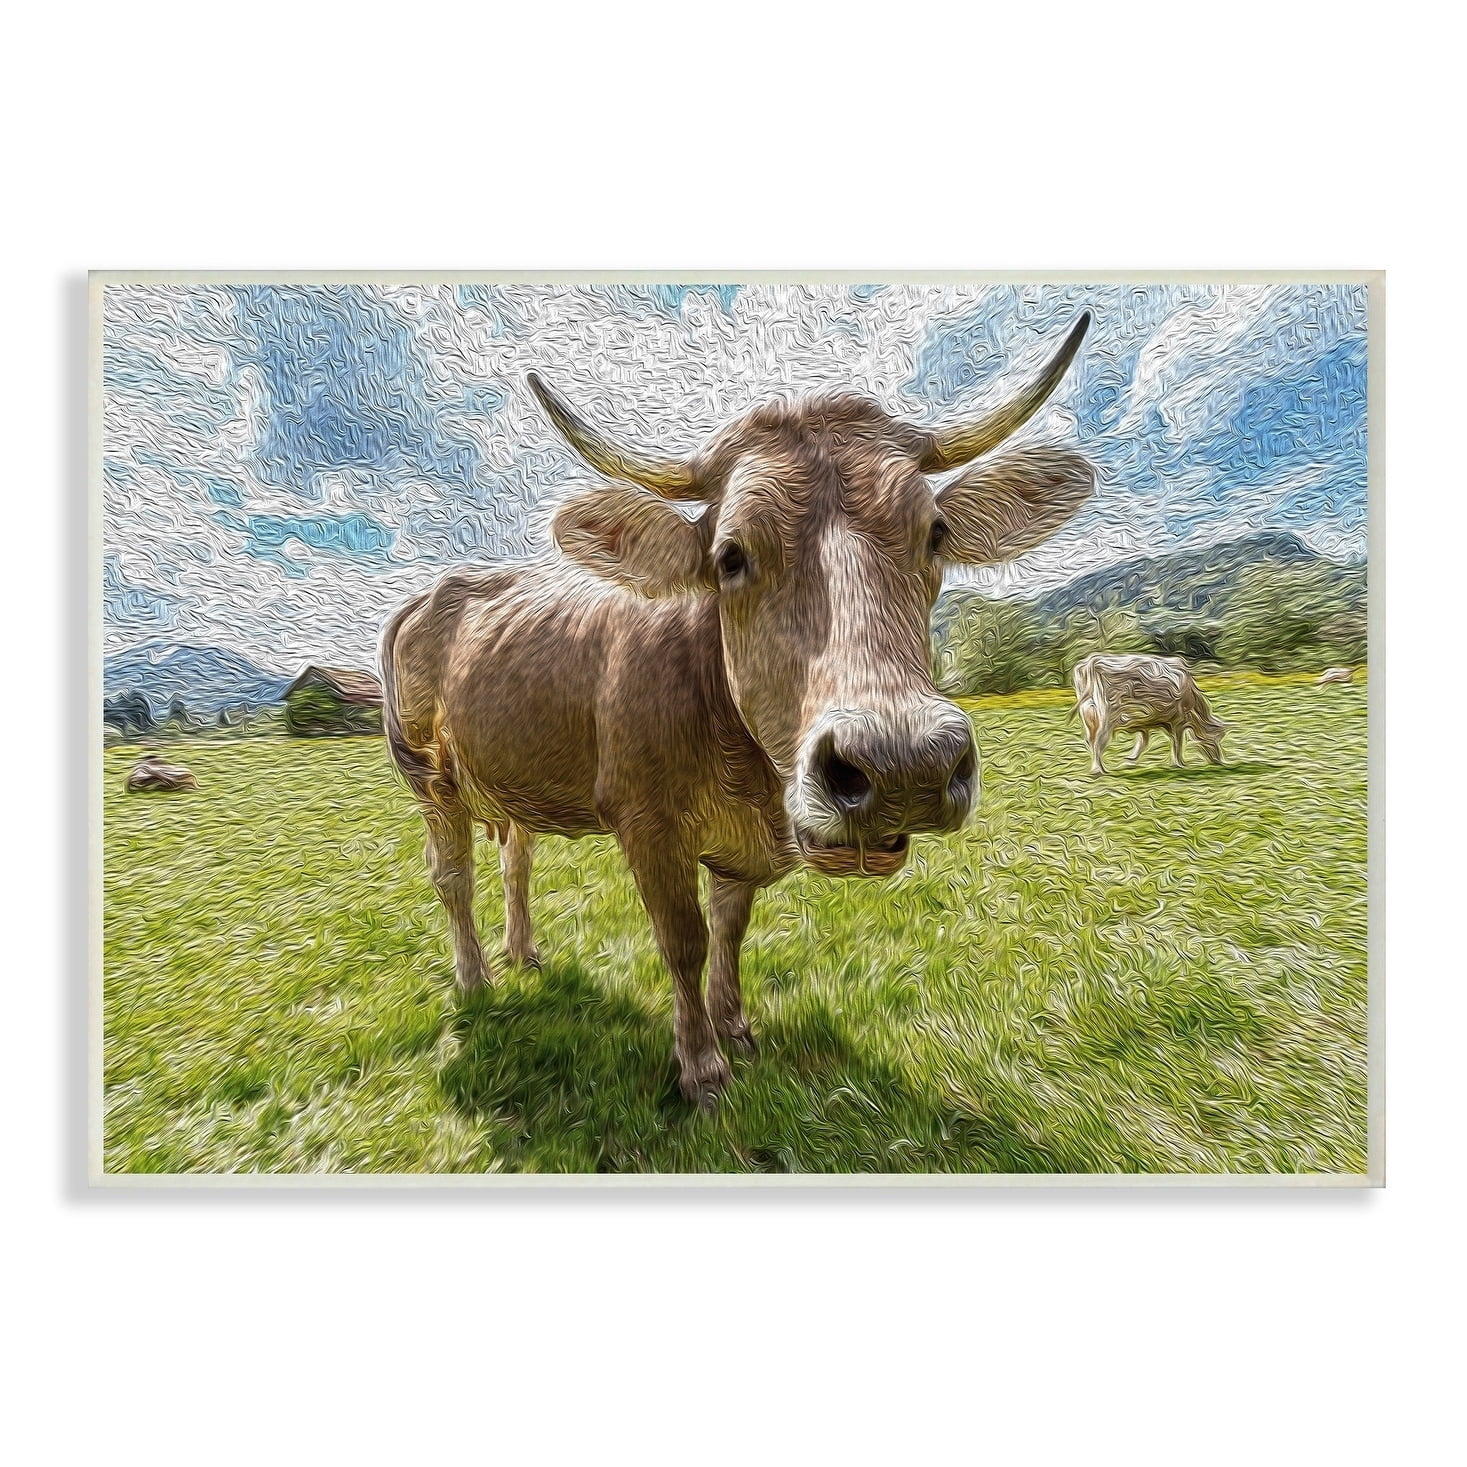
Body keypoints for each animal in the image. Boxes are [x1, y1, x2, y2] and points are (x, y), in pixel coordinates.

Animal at [381, 314, 1096, 1107]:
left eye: (935, 533)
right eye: (730, 555)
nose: (902, 764)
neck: (744, 771)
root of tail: (436, 590)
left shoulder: (742, 847)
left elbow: (729, 929)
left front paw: (735, 1027)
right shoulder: (645, 821)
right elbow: (684, 940)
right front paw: (701, 1065)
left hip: (509, 777)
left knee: (516, 859)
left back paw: (524, 953)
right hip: (430, 779)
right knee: (452, 875)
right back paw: (475, 979)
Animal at [1071, 653, 1228, 777]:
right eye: (1218, 738)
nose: (1219, 760)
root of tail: (1092, 661)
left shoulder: (1146, 723)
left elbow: (1143, 742)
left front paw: (1130, 761)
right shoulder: (1178, 721)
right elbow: (1177, 742)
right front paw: (1179, 763)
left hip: (1089, 717)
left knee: (1090, 741)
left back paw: (1097, 769)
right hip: (1106, 719)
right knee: (1098, 742)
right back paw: (1099, 770)